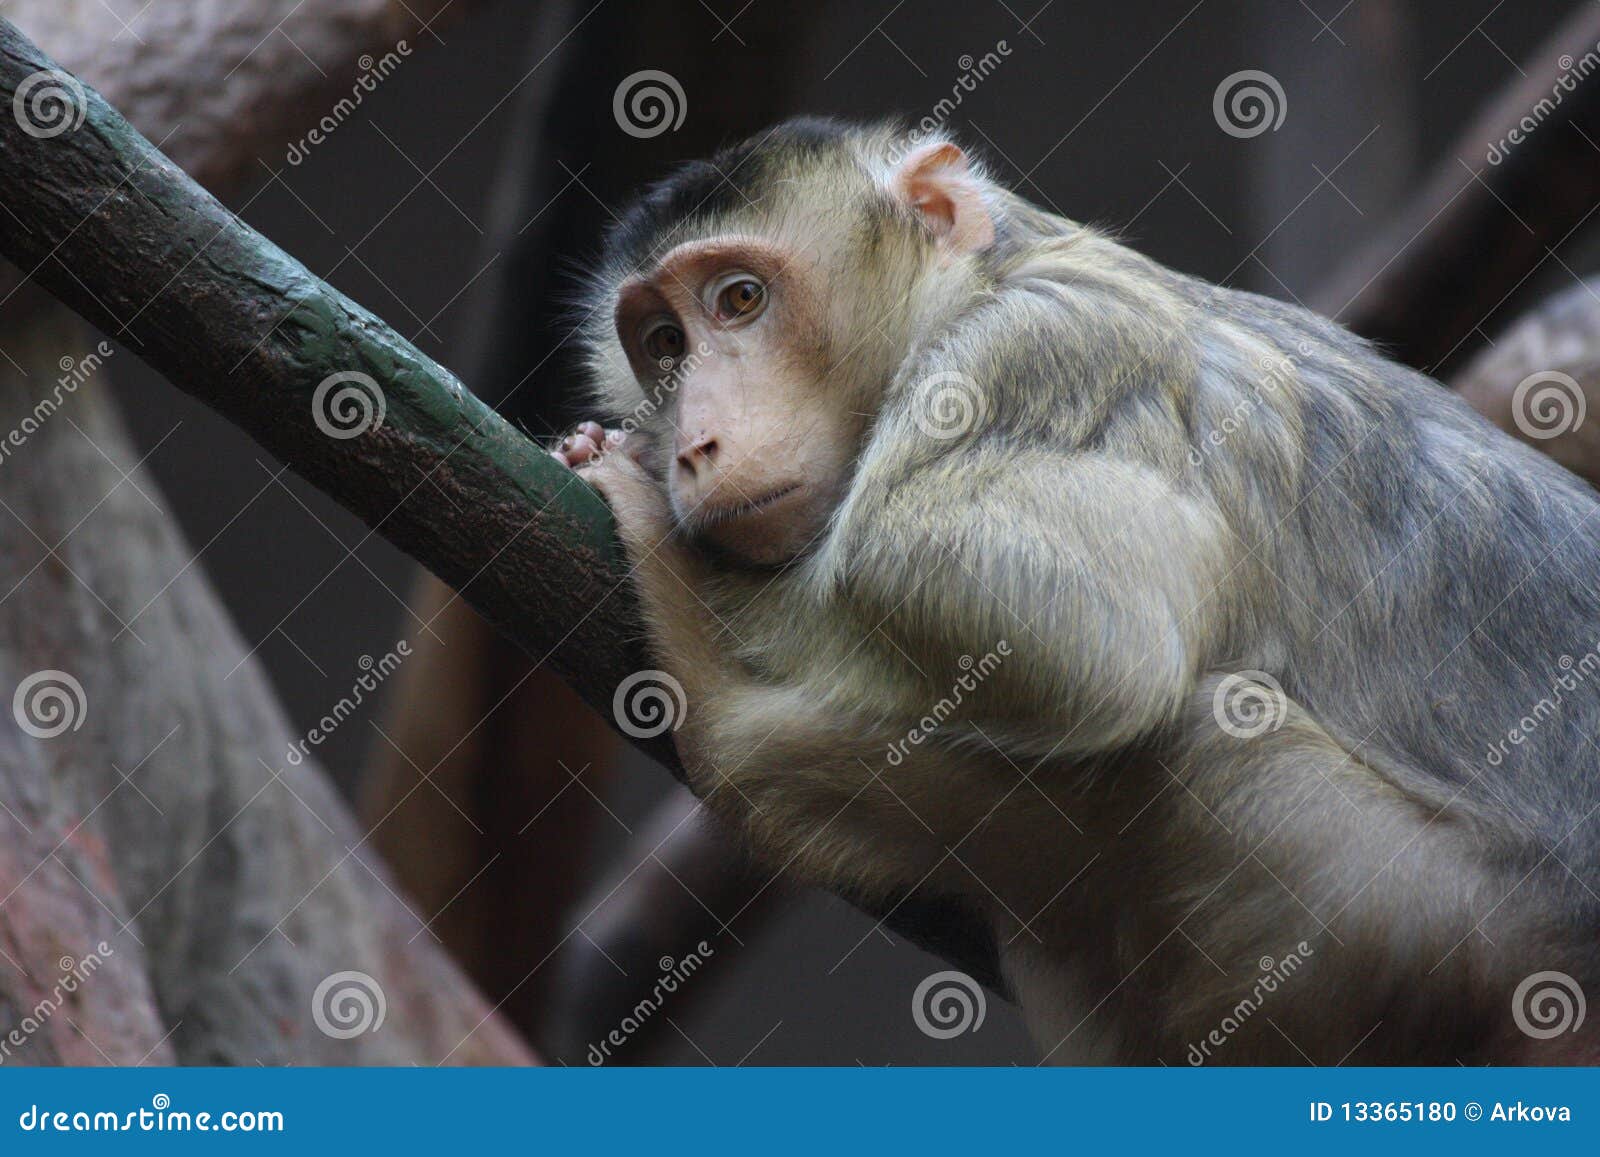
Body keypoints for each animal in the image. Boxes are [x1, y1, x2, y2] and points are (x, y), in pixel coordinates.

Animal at [553, 122, 1600, 1062]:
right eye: (662, 342)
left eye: (740, 299)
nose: (695, 444)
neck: (986, 275)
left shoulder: (1022, 355)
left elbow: (1096, 646)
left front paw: (682, 560)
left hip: (1445, 937)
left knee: (1209, 731)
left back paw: (719, 710)